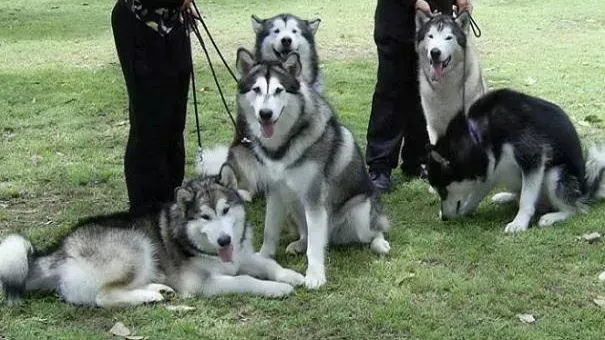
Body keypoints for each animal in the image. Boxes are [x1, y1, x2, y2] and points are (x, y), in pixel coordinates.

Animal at [0, 165, 302, 308]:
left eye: (225, 210)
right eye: (205, 217)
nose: (225, 241)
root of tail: (62, 248)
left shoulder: (242, 255)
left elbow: (267, 263)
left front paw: (292, 276)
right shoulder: (201, 285)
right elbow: (244, 279)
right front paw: (276, 288)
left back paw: (157, 288)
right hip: (137, 246)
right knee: (103, 297)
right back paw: (149, 297)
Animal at [231, 49, 392, 290]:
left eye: (279, 90)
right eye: (256, 89)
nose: (265, 114)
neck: (284, 144)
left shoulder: (314, 198)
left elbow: (315, 247)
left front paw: (315, 275)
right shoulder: (275, 192)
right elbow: (270, 231)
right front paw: (263, 257)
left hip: (359, 214)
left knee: (373, 230)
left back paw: (379, 242)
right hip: (294, 207)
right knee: (309, 234)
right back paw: (299, 244)